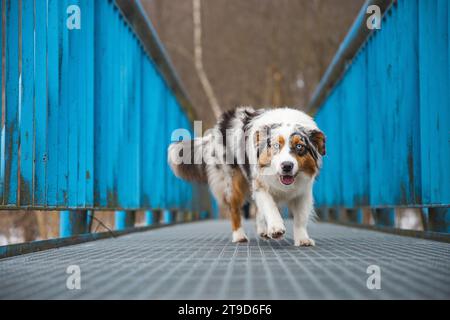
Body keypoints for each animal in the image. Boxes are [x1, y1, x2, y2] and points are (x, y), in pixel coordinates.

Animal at [167, 107, 326, 245]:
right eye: (276, 146)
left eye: (300, 146)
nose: (287, 166)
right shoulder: (259, 183)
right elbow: (269, 206)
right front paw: (276, 228)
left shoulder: (303, 191)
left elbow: (300, 217)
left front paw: (302, 239)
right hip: (233, 182)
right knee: (235, 209)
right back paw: (239, 236)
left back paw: (262, 230)